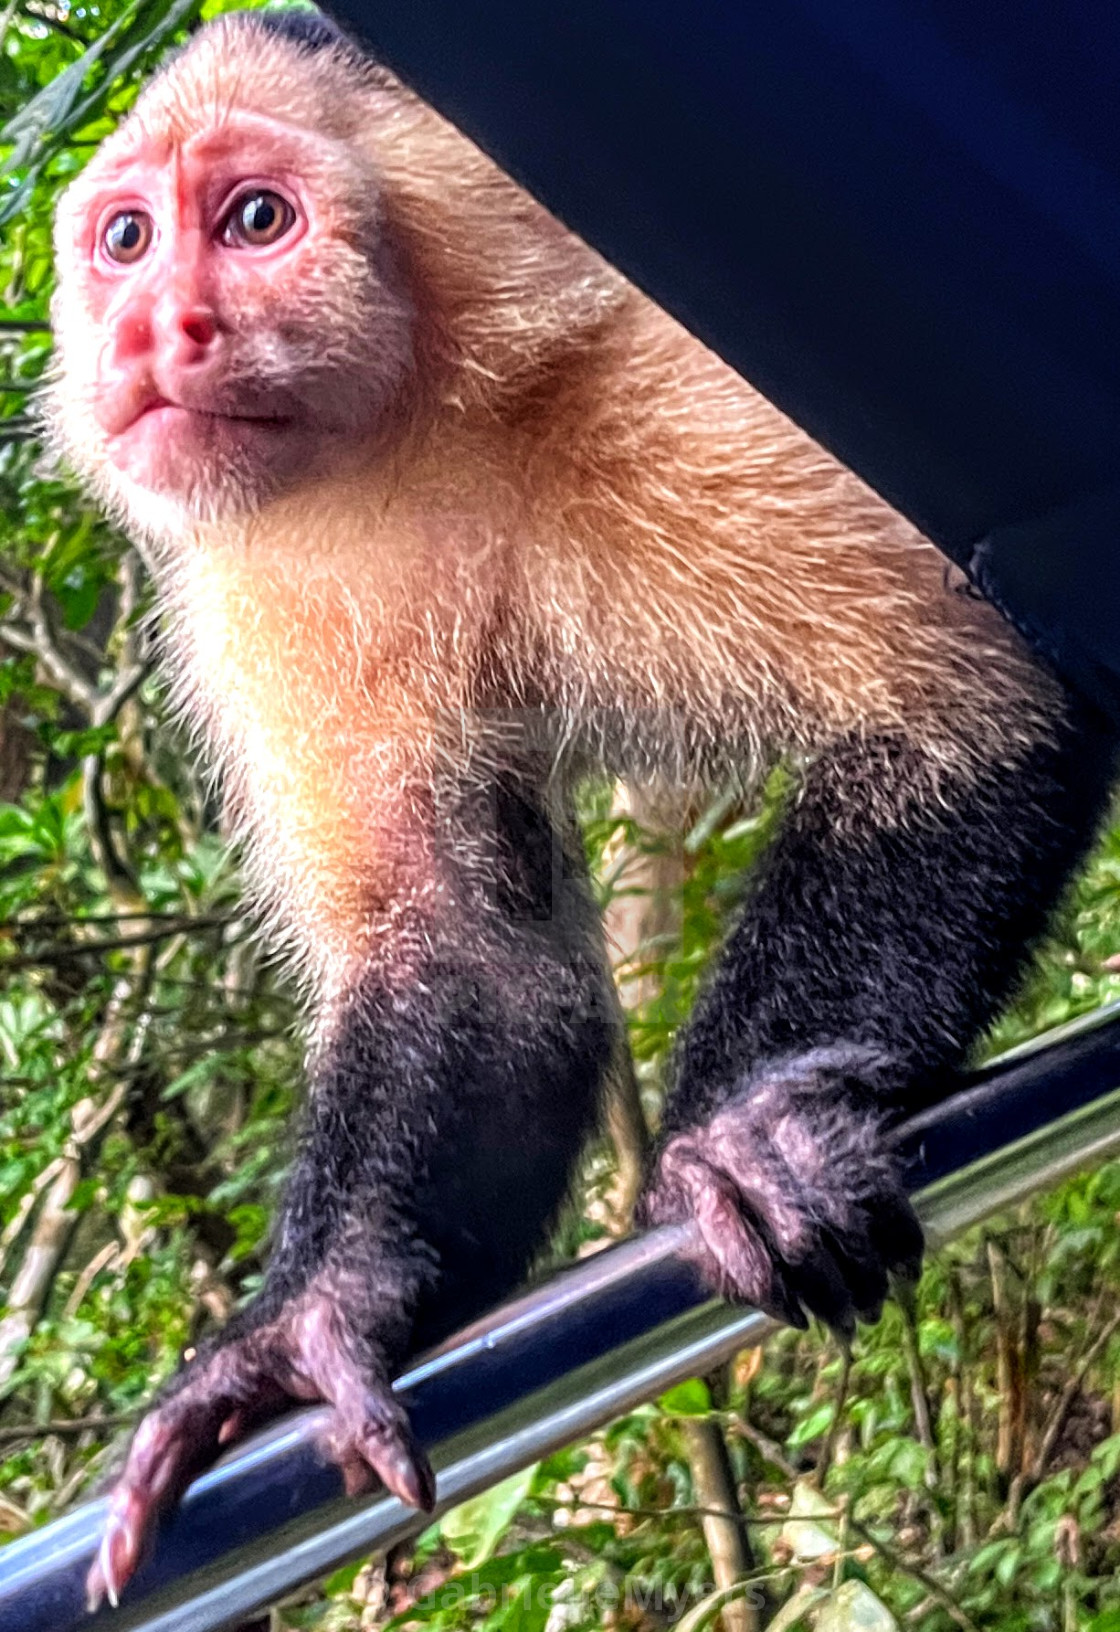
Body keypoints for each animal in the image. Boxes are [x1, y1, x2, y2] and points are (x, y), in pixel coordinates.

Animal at [46, 6, 1120, 1612]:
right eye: (125, 238)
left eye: (254, 222)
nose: (150, 329)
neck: (433, 423)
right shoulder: (270, 585)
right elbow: (476, 967)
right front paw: (306, 1329)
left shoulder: (678, 395)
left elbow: (965, 705)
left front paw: (743, 1134)